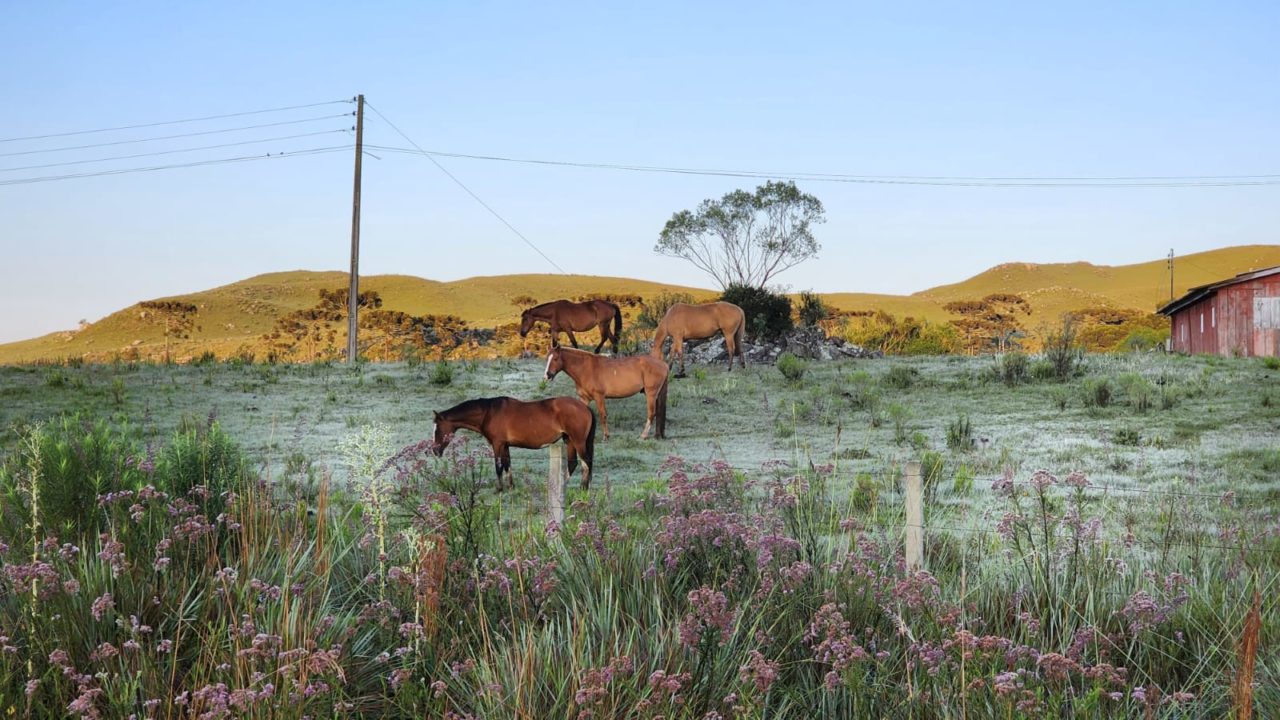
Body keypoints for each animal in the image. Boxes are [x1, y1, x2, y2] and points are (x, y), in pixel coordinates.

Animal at [427, 394, 591, 489]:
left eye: (437, 429)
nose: (434, 450)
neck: (488, 413)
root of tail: (585, 407)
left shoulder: (497, 444)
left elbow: (498, 466)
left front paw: (499, 488)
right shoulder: (505, 445)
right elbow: (507, 465)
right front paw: (511, 486)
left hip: (578, 441)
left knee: (586, 463)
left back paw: (582, 488)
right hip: (569, 441)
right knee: (573, 464)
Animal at [542, 345, 670, 440]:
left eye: (555, 359)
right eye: (547, 358)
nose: (547, 375)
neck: (585, 369)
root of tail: (663, 364)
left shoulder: (599, 397)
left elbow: (602, 415)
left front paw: (606, 436)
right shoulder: (584, 398)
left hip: (650, 394)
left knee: (651, 413)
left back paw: (643, 435)